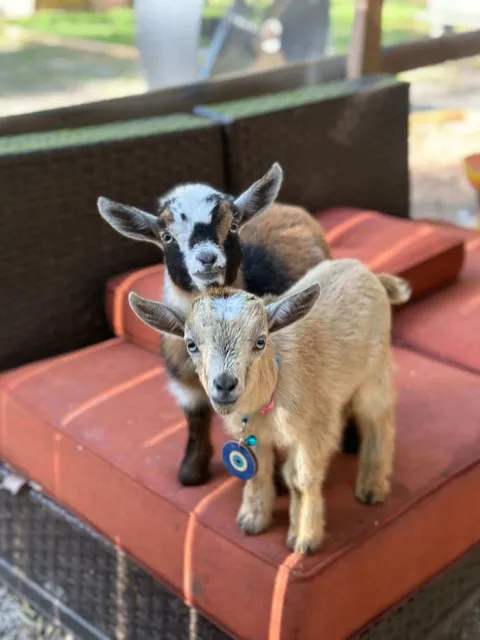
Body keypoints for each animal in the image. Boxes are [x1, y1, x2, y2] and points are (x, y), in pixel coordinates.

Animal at [97, 163, 331, 487]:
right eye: (166, 236)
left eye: (233, 225)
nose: (207, 258)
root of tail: (287, 207)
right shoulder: (184, 385)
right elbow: (195, 420)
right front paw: (191, 472)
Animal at [128, 259, 411, 554]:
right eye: (191, 344)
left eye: (260, 341)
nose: (225, 384)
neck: (272, 385)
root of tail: (369, 273)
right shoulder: (256, 438)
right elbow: (257, 473)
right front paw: (253, 520)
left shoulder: (312, 433)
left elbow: (301, 480)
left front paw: (305, 538)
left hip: (374, 374)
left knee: (380, 421)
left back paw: (372, 487)